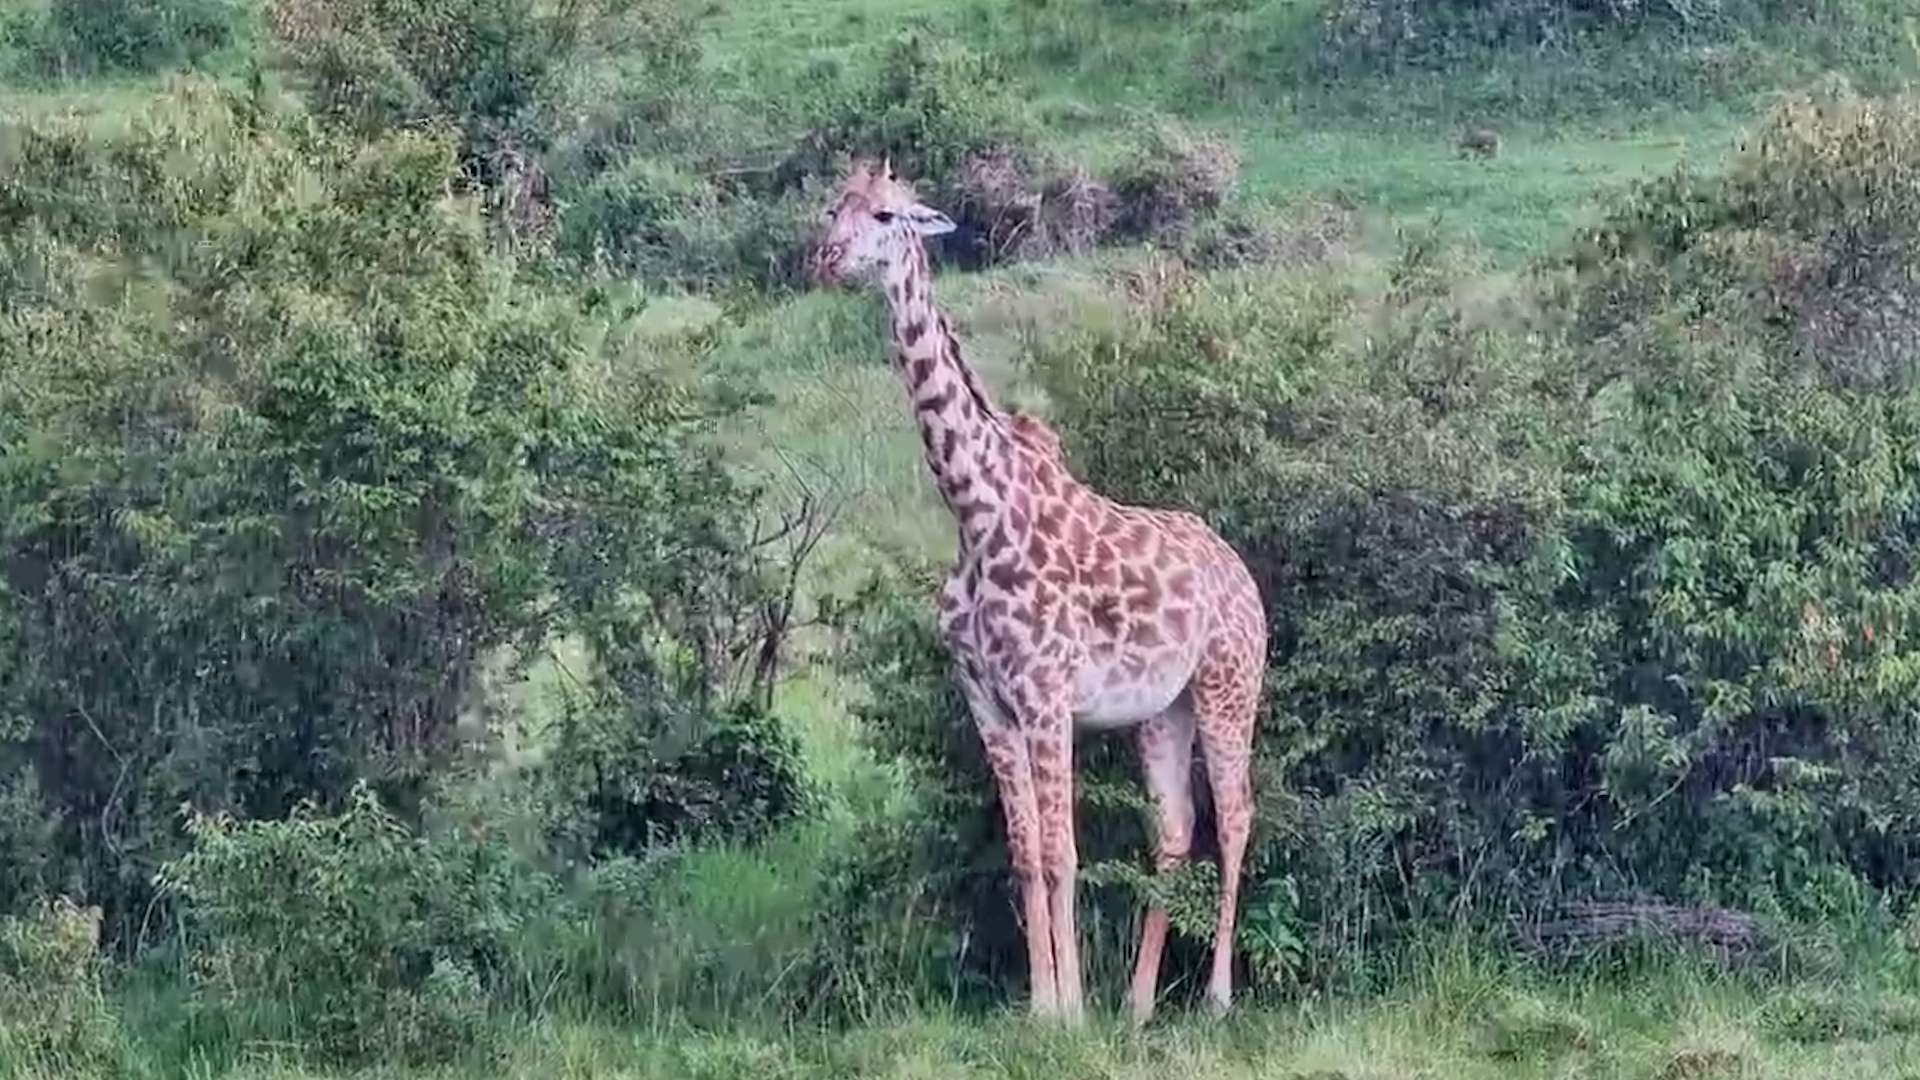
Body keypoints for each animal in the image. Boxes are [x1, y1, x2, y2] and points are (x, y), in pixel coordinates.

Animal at [805, 158, 1269, 1026]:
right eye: (830, 210)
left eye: (885, 215)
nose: (825, 260)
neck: (974, 510)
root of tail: (1243, 575)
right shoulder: (988, 701)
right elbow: (1024, 853)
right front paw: (1042, 1007)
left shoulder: (1048, 697)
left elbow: (1062, 852)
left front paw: (1069, 1011)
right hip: (1162, 710)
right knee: (1175, 827)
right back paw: (1139, 1005)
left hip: (1230, 686)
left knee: (1235, 816)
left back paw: (1216, 999)